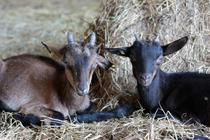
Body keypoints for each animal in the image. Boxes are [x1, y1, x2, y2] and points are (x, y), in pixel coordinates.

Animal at [0, 32, 133, 126]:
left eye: (94, 64)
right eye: (66, 62)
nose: (82, 89)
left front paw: (126, 108)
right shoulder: (31, 106)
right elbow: (60, 117)